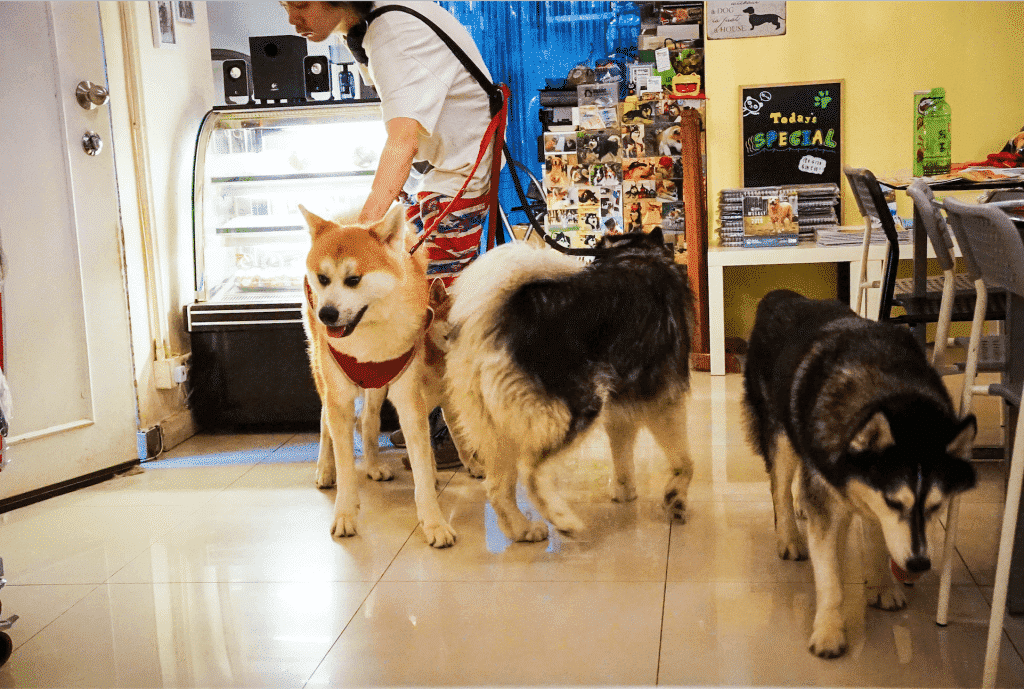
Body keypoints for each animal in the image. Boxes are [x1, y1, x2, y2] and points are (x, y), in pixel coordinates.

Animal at [299, 204, 468, 548]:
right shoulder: (339, 398)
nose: (327, 315)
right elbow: (345, 463)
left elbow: (421, 466)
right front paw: (345, 514)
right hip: (324, 376)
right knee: (325, 421)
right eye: (323, 278)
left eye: (353, 279)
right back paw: (325, 469)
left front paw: (433, 522)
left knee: (368, 421)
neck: (368, 337)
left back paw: (374, 465)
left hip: (378, 386)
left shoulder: (409, 398)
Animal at [446, 231, 696, 544]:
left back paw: (522, 529)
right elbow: (685, 462)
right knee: (532, 470)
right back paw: (562, 519)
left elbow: (623, 459)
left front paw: (625, 492)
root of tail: (500, 319)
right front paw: (676, 499)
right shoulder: (666, 401)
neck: (636, 253)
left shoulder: (619, 414)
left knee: (497, 488)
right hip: (580, 409)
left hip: (498, 433)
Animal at [745, 288, 974, 655]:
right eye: (896, 503)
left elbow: (877, 537)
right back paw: (790, 537)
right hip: (780, 435)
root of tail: (782, 295)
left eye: (936, 507)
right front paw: (829, 630)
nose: (919, 565)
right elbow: (830, 579)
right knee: (779, 489)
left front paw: (881, 585)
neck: (889, 390)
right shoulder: (838, 494)